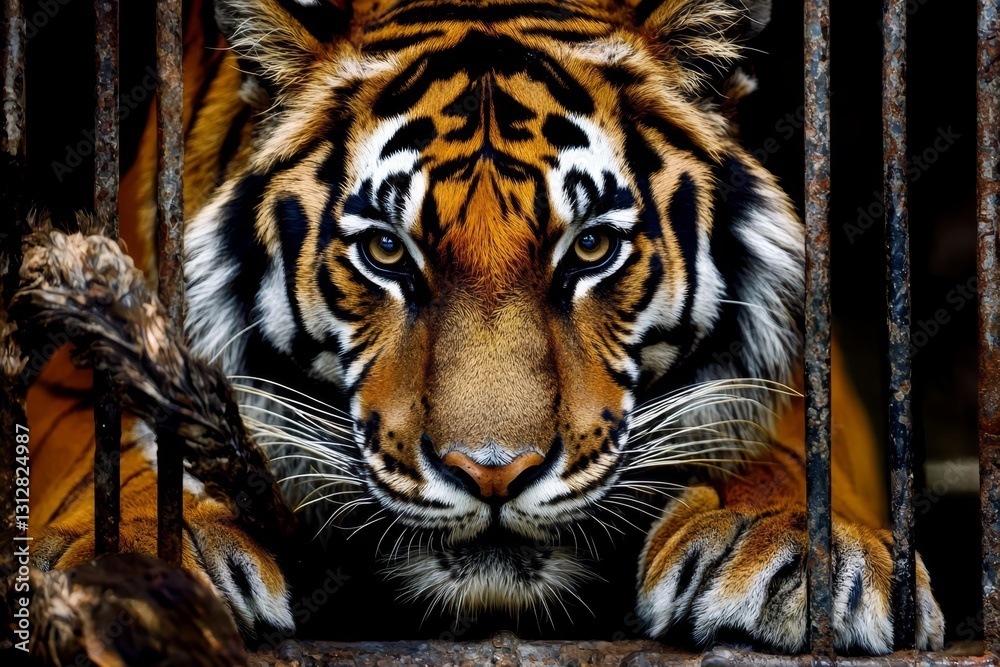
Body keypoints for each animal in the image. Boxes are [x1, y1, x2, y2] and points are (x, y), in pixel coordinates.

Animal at [25, 0, 946, 655]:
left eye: (593, 246)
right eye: (386, 250)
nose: (493, 473)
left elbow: (788, 440)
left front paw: (793, 548)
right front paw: (137, 563)